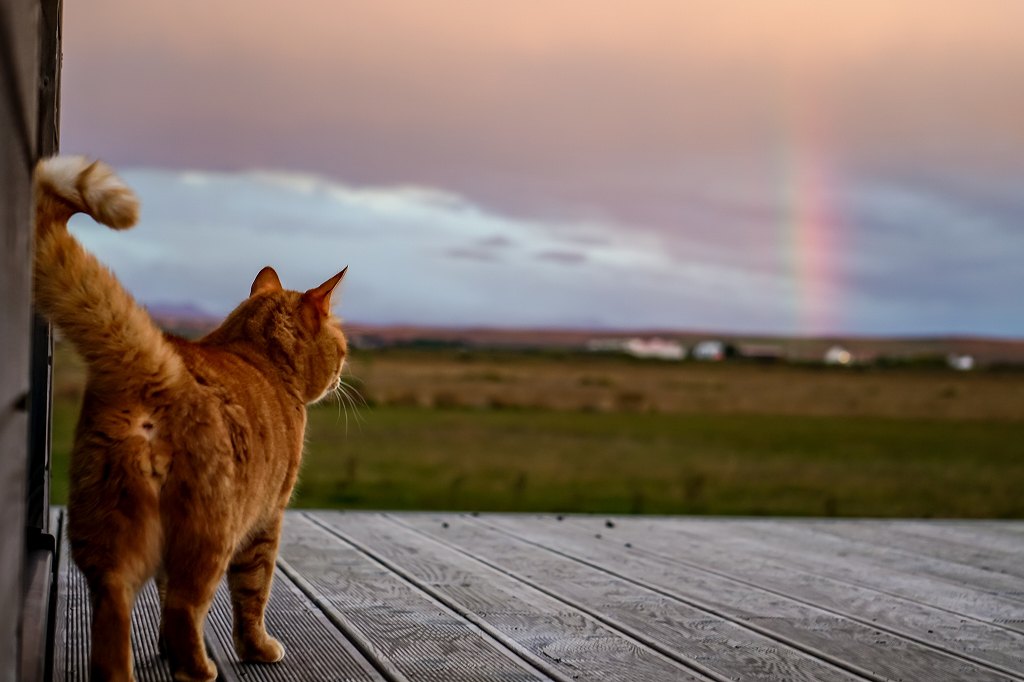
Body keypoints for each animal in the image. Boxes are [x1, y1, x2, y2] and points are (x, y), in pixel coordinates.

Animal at [33, 156, 348, 675]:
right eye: (341, 347)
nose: (343, 370)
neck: (255, 356)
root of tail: (157, 366)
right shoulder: (268, 518)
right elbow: (252, 594)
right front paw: (257, 649)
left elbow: (163, 598)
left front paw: (162, 647)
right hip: (212, 530)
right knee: (187, 604)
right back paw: (200, 670)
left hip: (108, 531)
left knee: (114, 605)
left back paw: (124, 670)